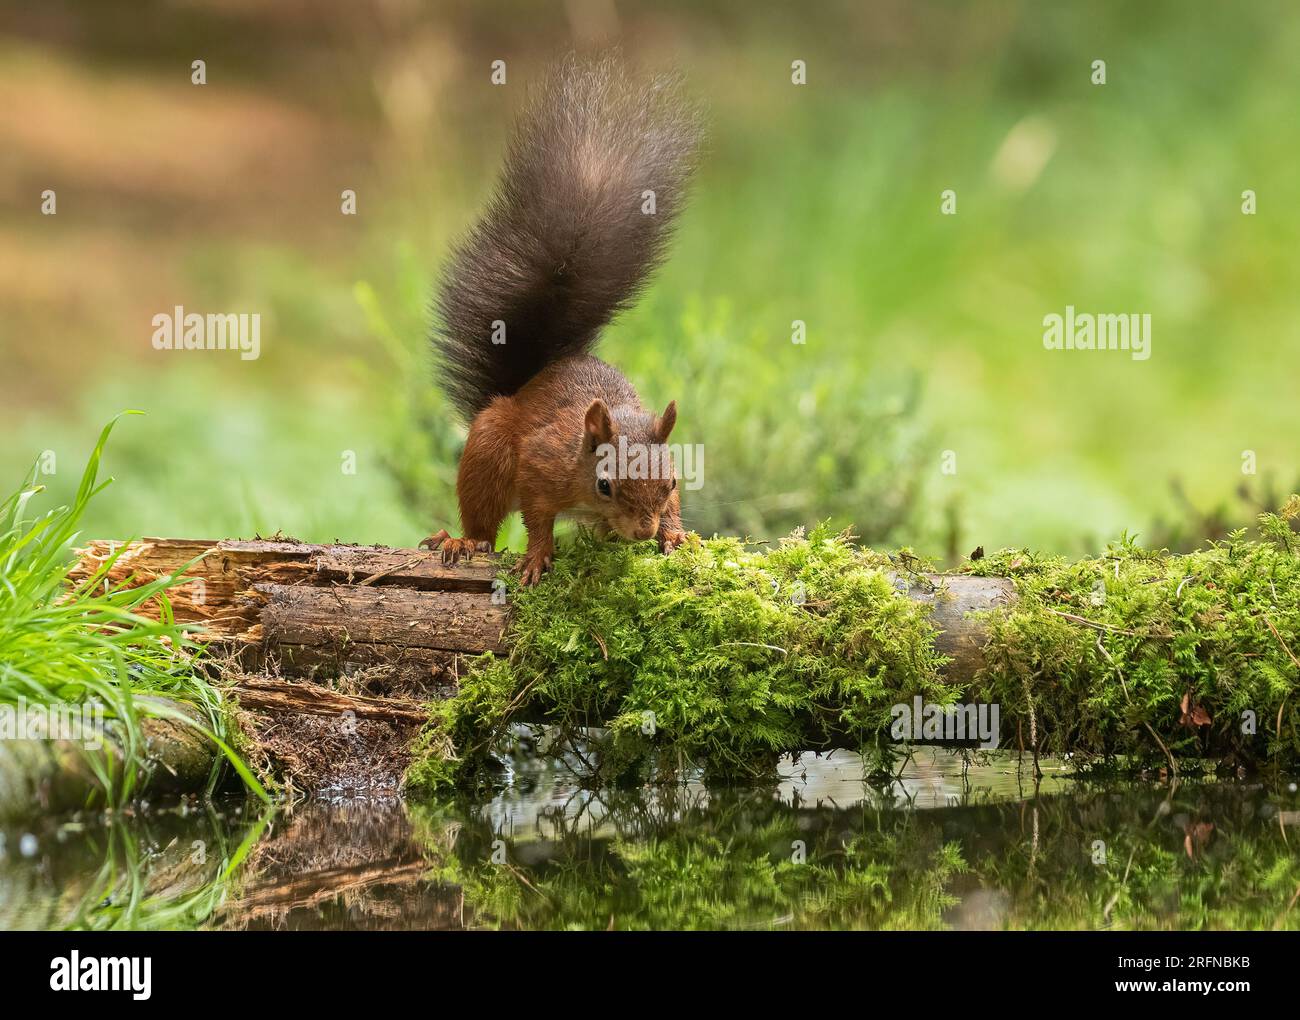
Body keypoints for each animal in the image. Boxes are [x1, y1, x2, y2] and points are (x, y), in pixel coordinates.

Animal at [422, 55, 703, 585]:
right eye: (606, 484)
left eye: (673, 480)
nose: (642, 531)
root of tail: (526, 385)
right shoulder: (539, 464)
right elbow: (536, 517)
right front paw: (537, 556)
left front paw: (675, 534)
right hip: (488, 450)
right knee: (484, 518)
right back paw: (465, 540)